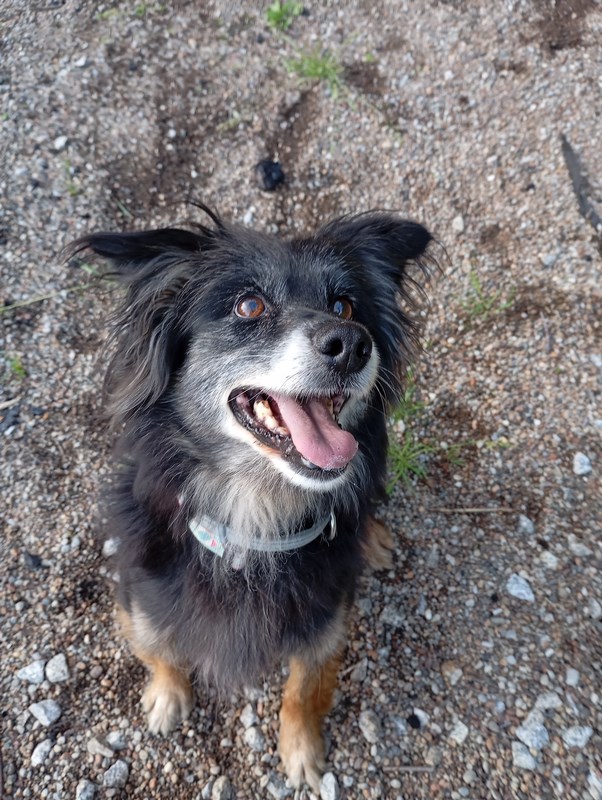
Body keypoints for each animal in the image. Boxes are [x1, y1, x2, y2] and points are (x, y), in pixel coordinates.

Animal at [72, 205, 433, 791]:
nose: (353, 343)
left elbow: (302, 691)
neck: (255, 518)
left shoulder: (326, 624)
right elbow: (157, 648)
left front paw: (301, 752)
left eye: (345, 305)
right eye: (249, 305)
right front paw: (166, 697)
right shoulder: (139, 596)